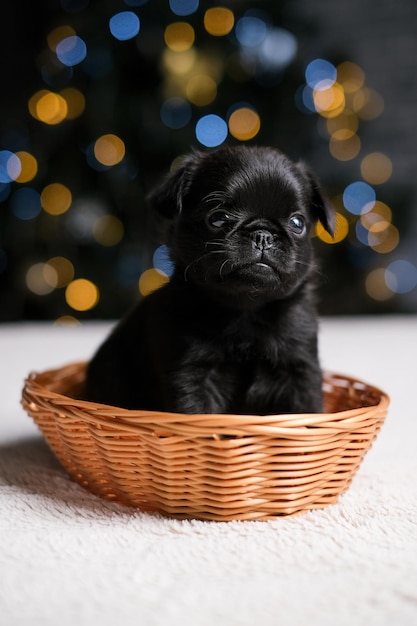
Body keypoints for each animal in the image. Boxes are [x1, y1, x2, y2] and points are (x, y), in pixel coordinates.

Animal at [85, 144, 334, 412]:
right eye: (218, 218)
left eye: (297, 223)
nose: (263, 234)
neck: (246, 309)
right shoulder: (191, 374)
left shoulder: (300, 371)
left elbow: (306, 412)